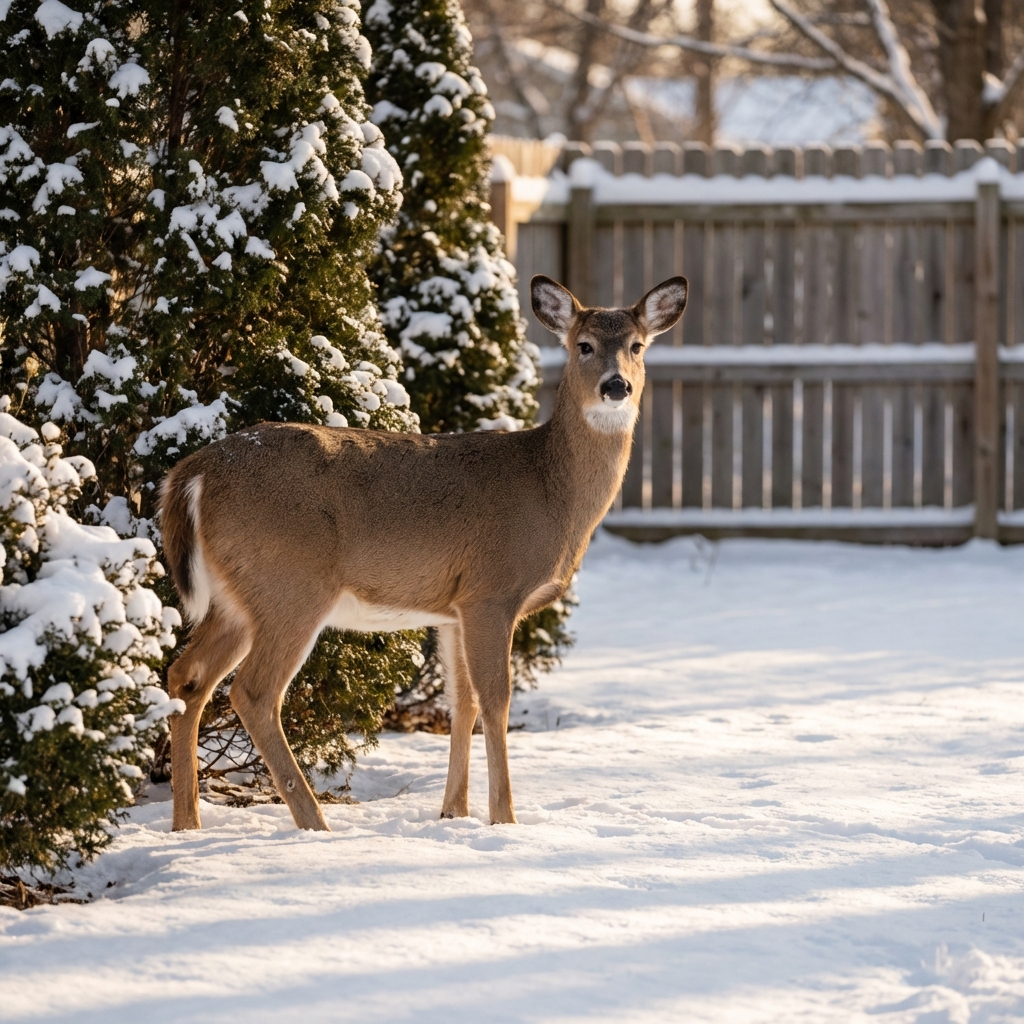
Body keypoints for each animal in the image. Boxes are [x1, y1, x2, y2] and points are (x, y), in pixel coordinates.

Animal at [160, 274, 688, 832]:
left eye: (637, 346)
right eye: (583, 345)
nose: (616, 386)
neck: (550, 489)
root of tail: (194, 472)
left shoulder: (453, 609)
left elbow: (463, 703)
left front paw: (452, 812)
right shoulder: (491, 592)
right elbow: (495, 701)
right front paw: (504, 819)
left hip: (237, 596)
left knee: (186, 676)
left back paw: (187, 823)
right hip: (290, 584)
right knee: (253, 692)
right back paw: (315, 823)